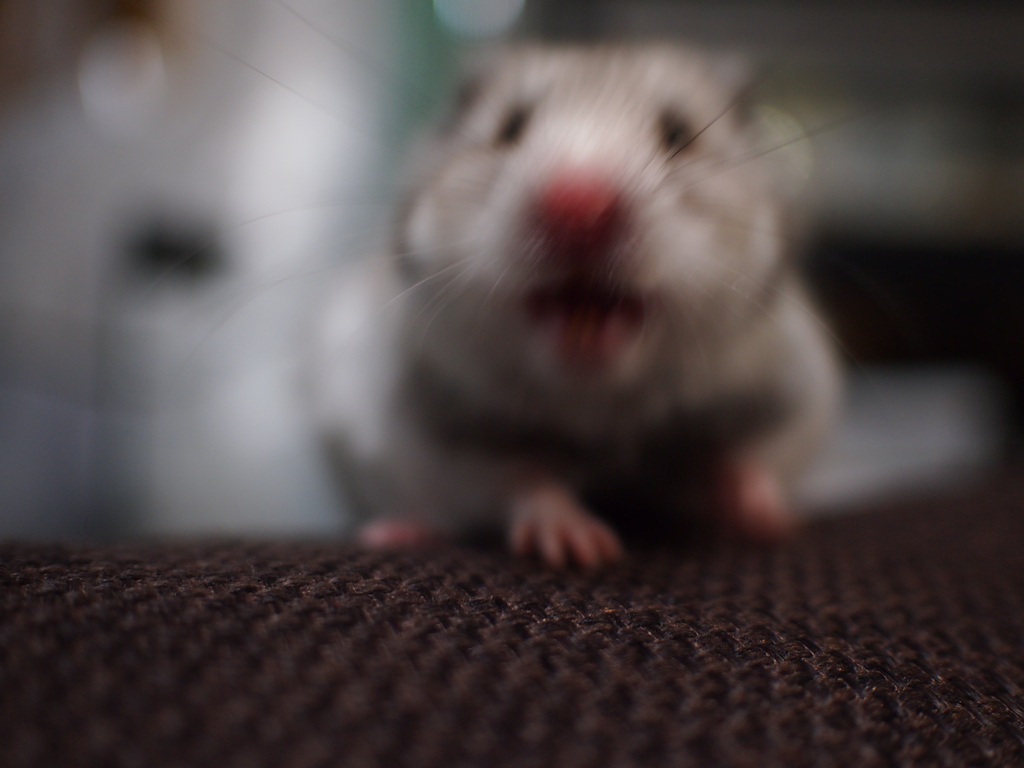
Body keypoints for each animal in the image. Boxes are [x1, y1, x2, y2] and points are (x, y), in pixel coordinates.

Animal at [308, 45, 841, 568]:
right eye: (510, 128)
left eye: (678, 133)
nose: (578, 205)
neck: (599, 402)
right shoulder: (446, 435)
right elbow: (522, 479)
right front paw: (580, 546)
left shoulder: (779, 402)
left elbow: (738, 461)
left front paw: (771, 522)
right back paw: (397, 532)